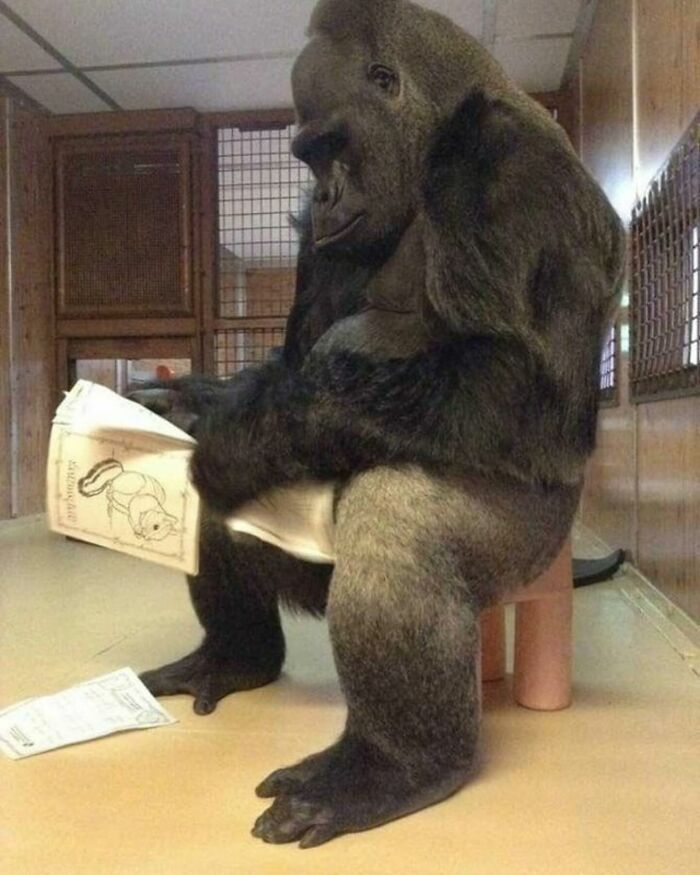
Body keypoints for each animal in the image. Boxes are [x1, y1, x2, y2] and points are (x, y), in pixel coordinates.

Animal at [130, 0, 625, 848]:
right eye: (307, 155)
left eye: (331, 145)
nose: (325, 196)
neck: (438, 130)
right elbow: (292, 364)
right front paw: (195, 408)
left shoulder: (512, 166)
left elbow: (511, 384)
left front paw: (233, 435)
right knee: (216, 508)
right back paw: (236, 655)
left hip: (535, 550)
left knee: (399, 517)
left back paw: (395, 764)